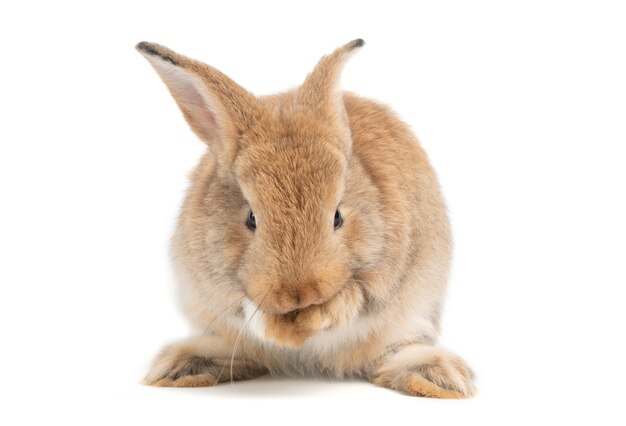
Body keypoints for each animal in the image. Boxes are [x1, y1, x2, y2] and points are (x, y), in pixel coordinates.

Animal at [136, 38, 472, 398]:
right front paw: (284, 330)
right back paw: (181, 367)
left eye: (337, 216)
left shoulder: (379, 279)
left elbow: (351, 301)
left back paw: (439, 378)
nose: (299, 294)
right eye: (251, 218)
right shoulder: (218, 289)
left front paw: (308, 321)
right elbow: (247, 309)